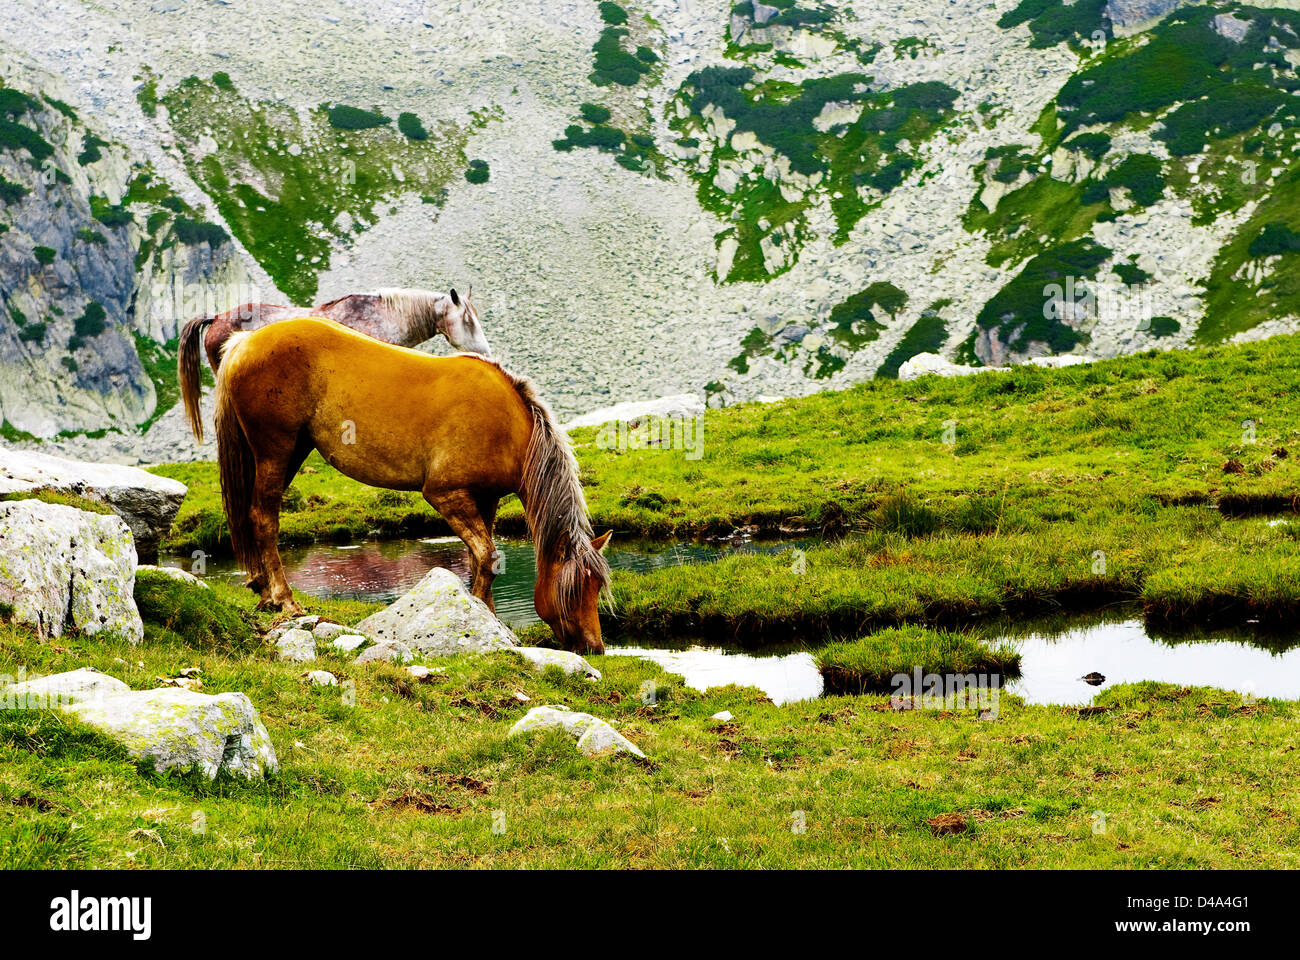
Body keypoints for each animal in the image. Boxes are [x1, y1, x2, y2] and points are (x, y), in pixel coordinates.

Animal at [214, 314, 613, 650]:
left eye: (597, 587)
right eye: (574, 589)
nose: (594, 647)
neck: (506, 425)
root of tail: (245, 342)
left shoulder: (485, 500)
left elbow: (480, 559)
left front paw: (486, 616)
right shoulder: (446, 495)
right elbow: (486, 555)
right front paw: (484, 615)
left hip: (293, 451)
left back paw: (263, 590)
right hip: (275, 451)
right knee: (263, 518)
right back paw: (284, 600)